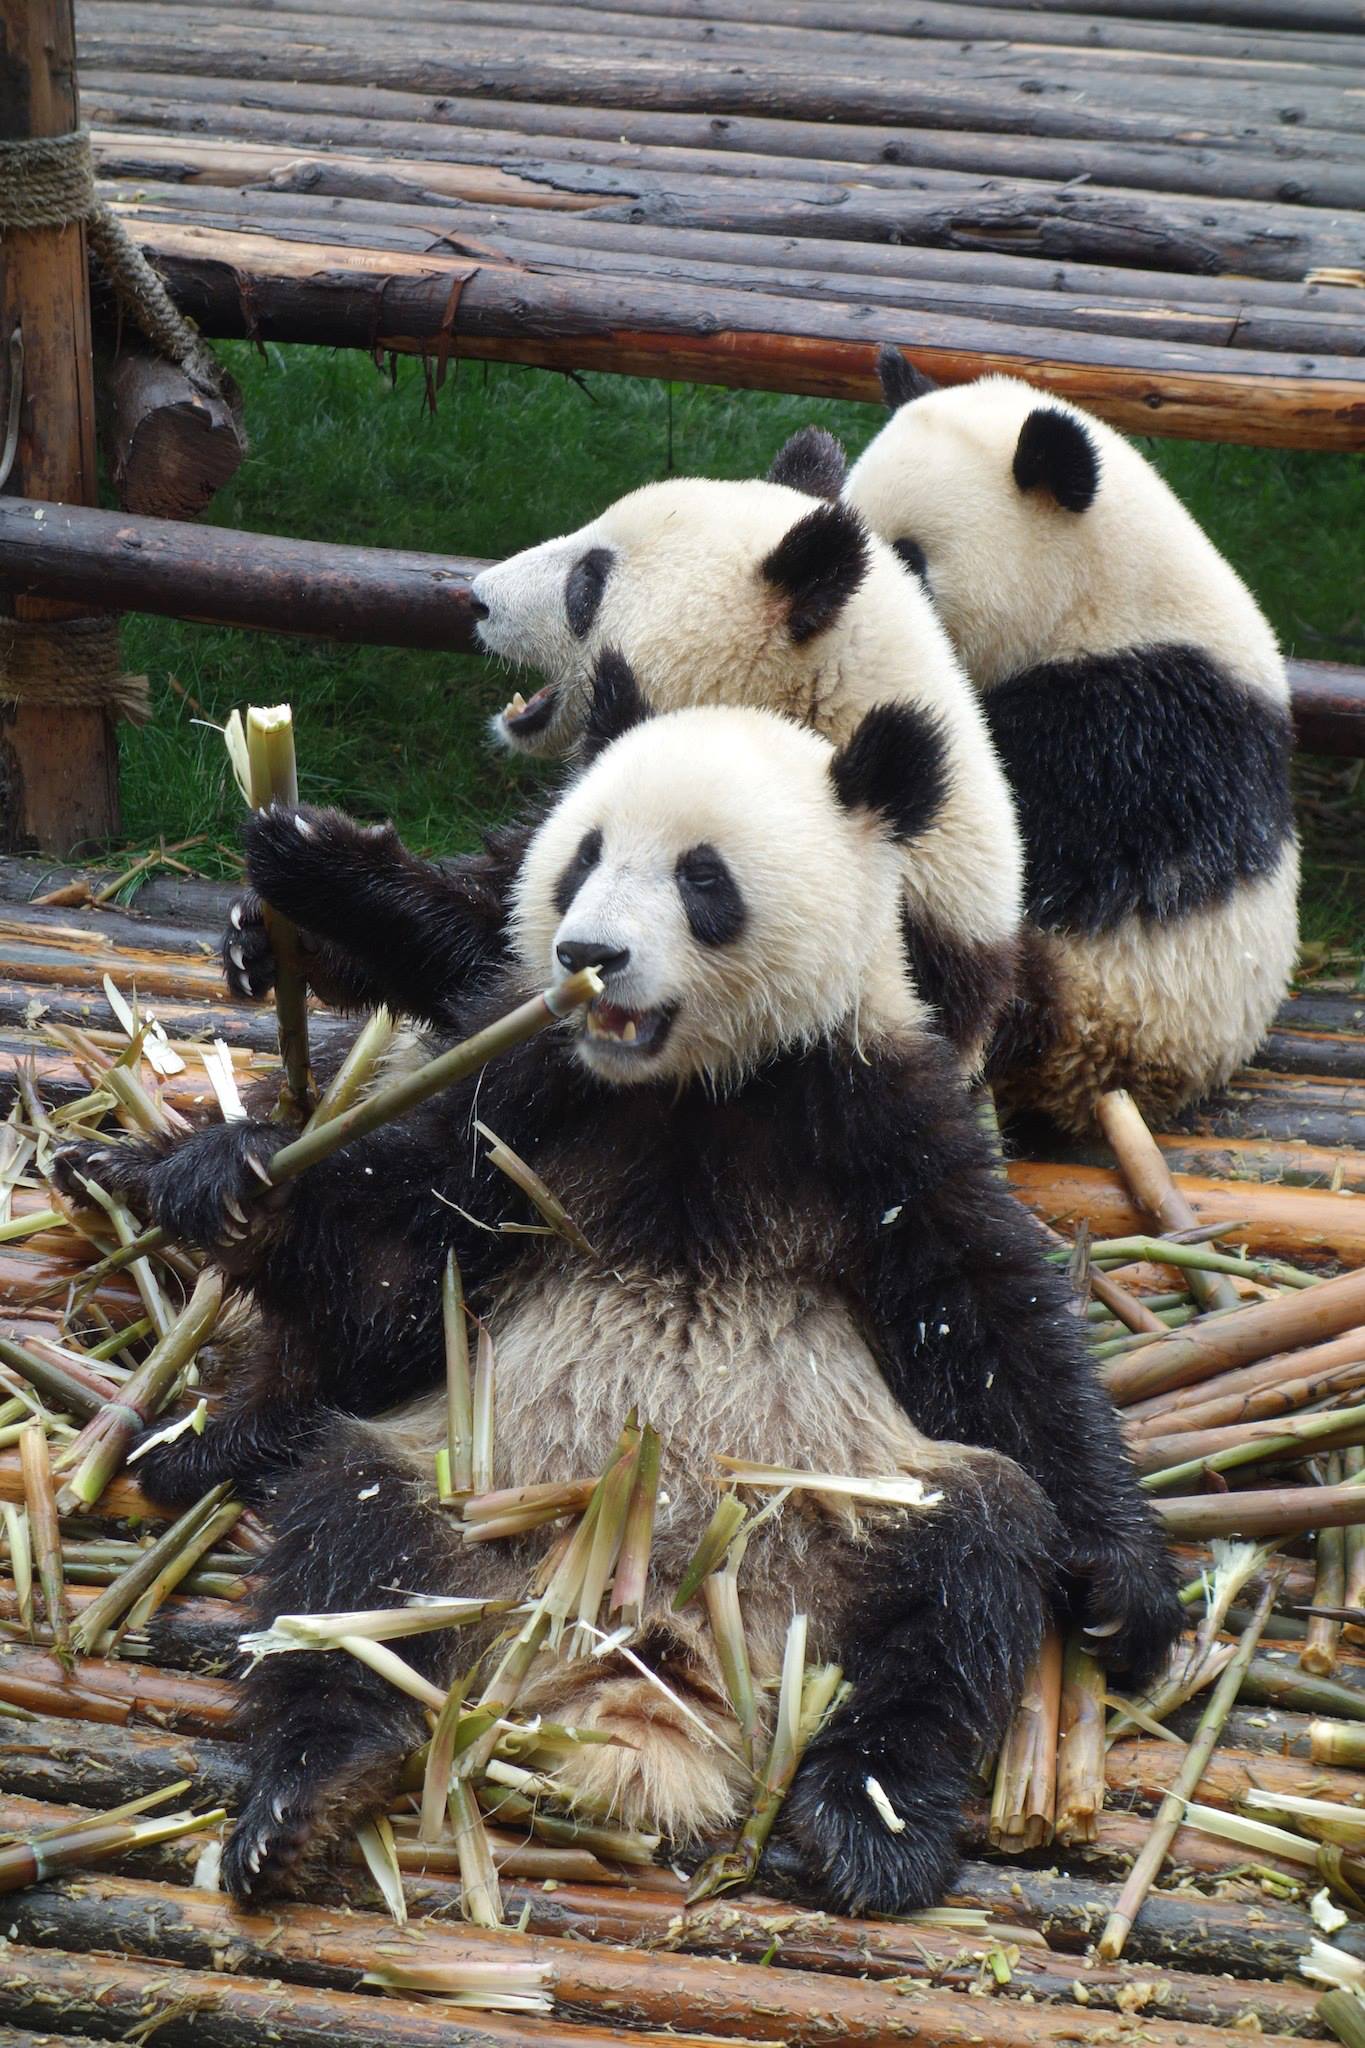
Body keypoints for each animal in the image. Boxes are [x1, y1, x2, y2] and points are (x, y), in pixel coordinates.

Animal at [57, 671, 1179, 1915]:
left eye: (703, 877)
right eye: (581, 856)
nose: (587, 949)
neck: (682, 1091)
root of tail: (654, 1639)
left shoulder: (870, 1112)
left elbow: (994, 1325)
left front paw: (1129, 1589)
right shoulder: (526, 1108)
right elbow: (400, 1265)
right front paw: (206, 1172)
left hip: (855, 1507)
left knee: (967, 1574)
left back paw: (873, 1818)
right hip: (472, 1497)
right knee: (348, 1553)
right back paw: (308, 1790)